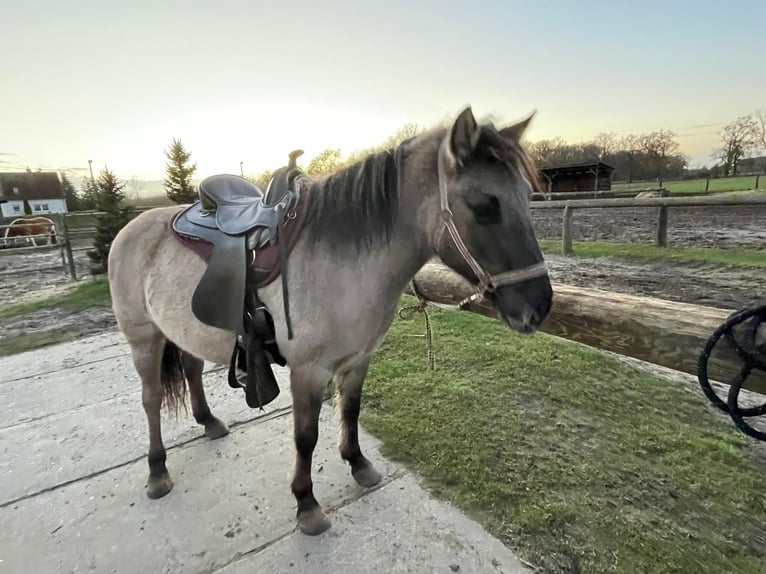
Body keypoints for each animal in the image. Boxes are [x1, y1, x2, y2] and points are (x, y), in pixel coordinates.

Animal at [108, 106, 556, 536]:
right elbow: (306, 437)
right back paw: (157, 471)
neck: (340, 261)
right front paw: (306, 504)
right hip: (144, 338)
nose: (539, 307)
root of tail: (130, 228)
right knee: (150, 399)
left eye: (527, 196)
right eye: (484, 206)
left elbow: (351, 411)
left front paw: (358, 464)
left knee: (192, 368)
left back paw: (209, 422)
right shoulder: (308, 370)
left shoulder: (358, 360)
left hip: (181, 330)